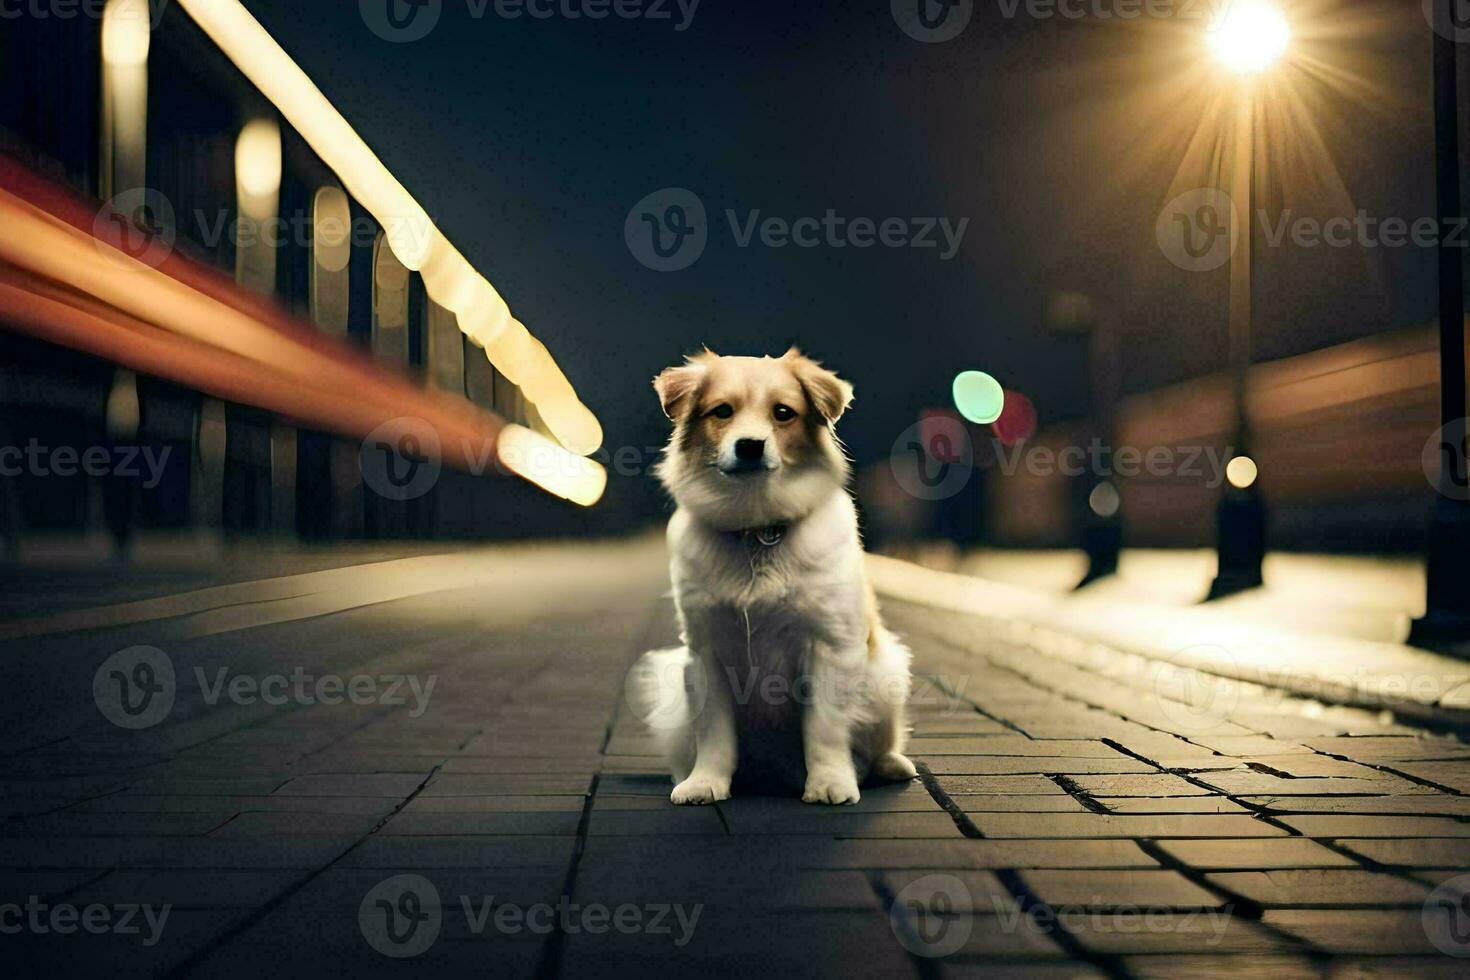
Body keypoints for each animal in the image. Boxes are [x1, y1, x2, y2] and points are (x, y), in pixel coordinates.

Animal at [626, 345, 911, 805]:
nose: (750, 446)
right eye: (722, 411)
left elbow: (826, 729)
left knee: (879, 746)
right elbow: (714, 733)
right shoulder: (705, 653)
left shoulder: (830, 646)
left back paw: (891, 765)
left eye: (783, 413)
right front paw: (705, 782)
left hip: (887, 672)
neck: (756, 529)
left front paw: (830, 782)